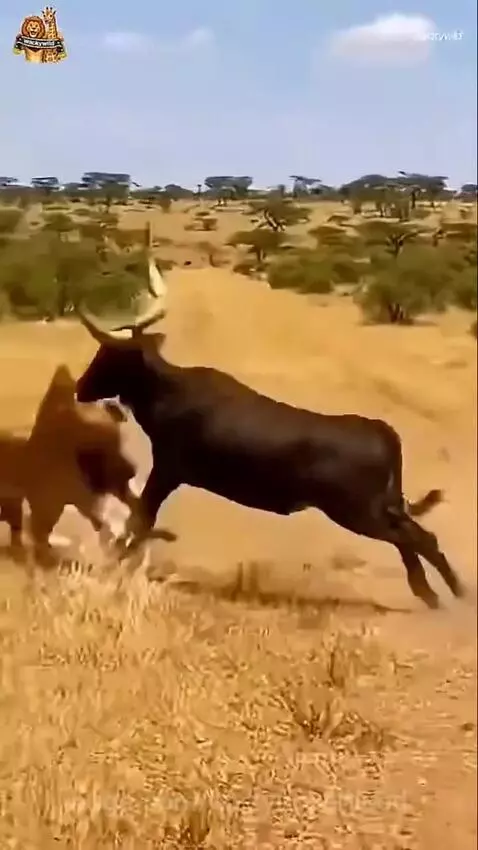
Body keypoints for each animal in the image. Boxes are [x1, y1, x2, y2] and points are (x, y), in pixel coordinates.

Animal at [74, 246, 465, 609]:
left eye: (108, 354)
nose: (81, 387)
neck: (169, 389)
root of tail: (380, 430)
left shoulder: (168, 471)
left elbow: (140, 519)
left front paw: (114, 566)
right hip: (379, 507)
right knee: (413, 536)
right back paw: (435, 593)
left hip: (358, 511)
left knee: (416, 538)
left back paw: (450, 594)